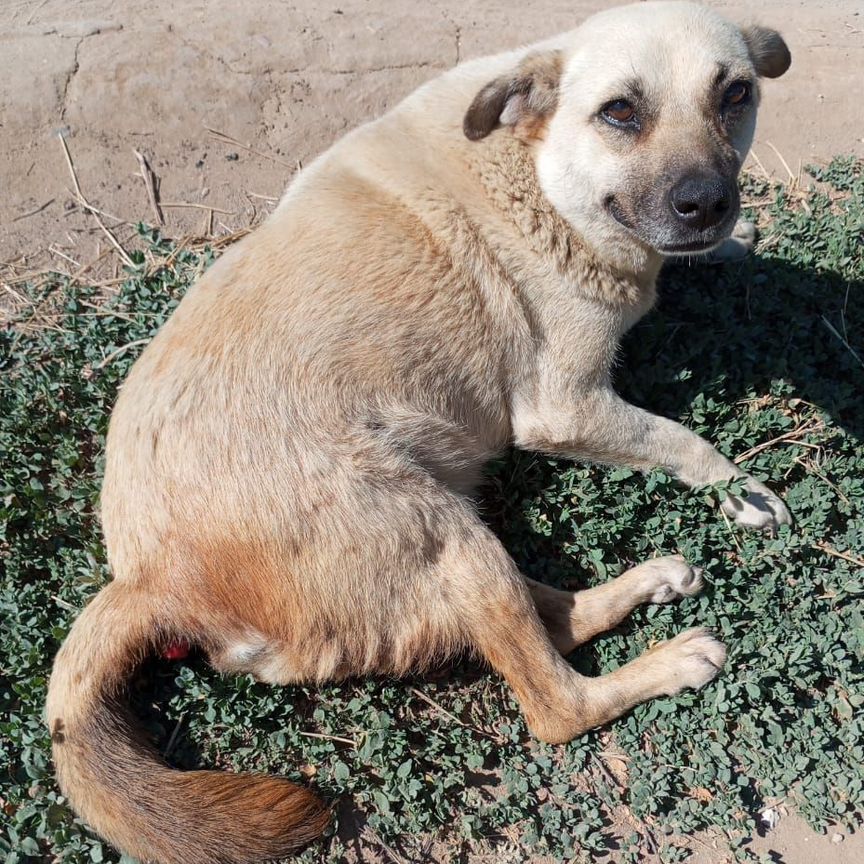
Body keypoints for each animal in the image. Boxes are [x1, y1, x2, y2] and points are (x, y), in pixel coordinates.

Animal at [45, 3, 788, 860]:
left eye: (735, 94)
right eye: (620, 112)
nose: (707, 204)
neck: (529, 169)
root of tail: (150, 579)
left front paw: (739, 241)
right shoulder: (563, 405)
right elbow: (680, 439)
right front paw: (747, 493)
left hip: (440, 534)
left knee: (552, 617)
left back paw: (650, 581)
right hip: (436, 531)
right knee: (556, 703)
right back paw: (671, 662)